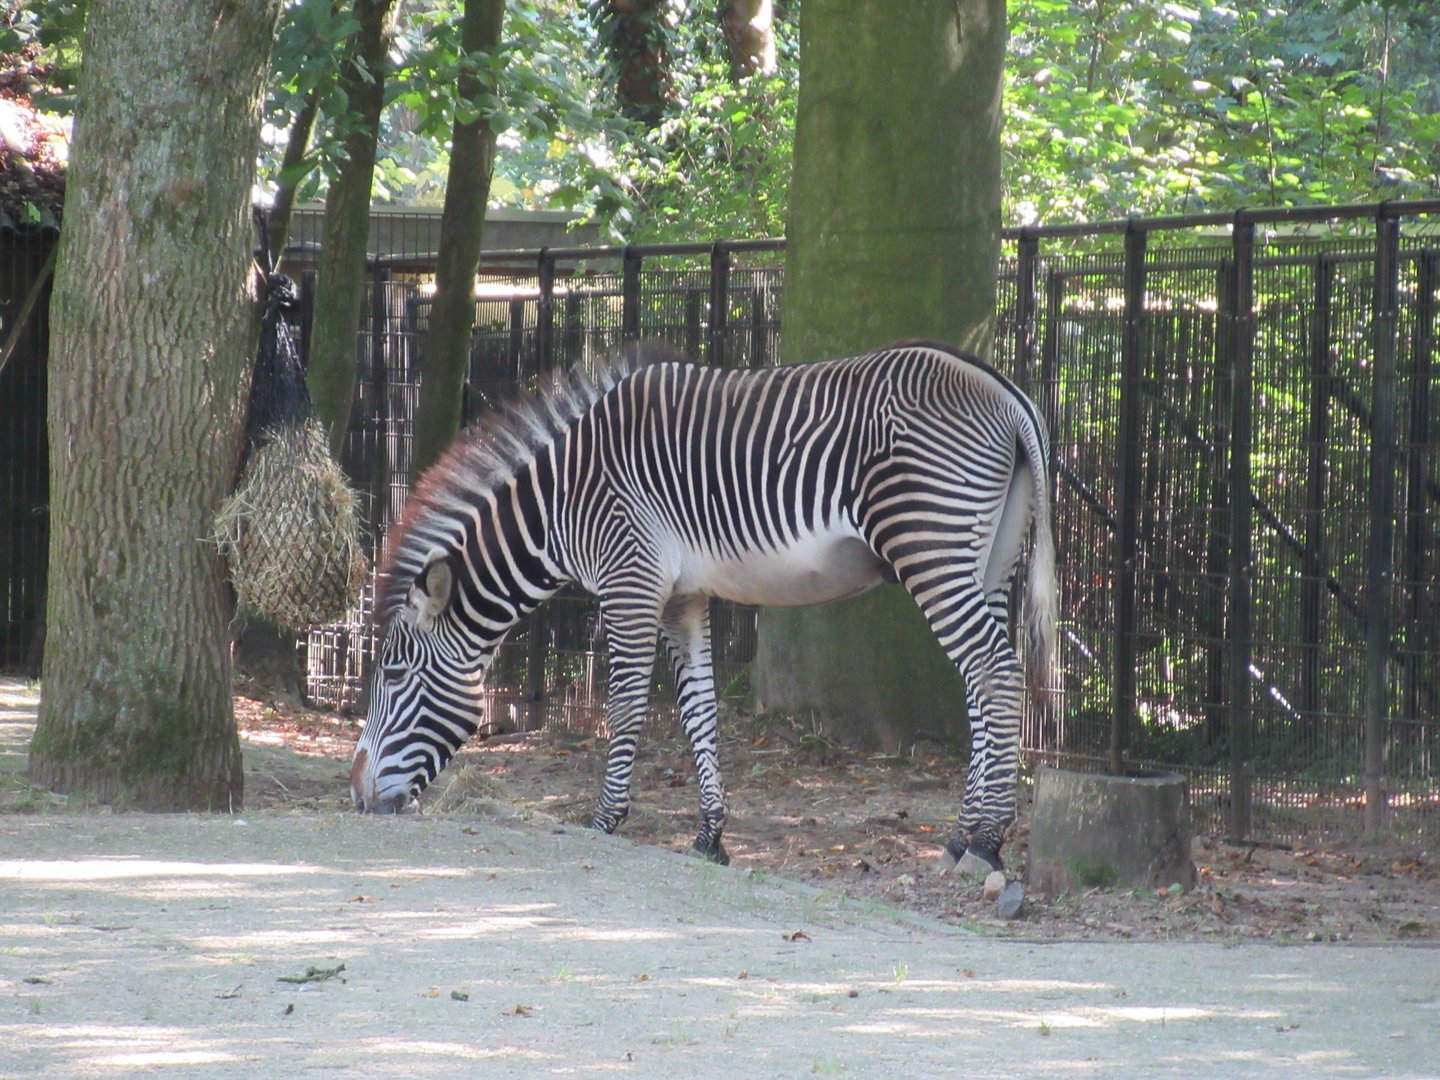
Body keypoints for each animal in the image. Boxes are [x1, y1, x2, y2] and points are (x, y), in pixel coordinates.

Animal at [350, 340, 1057, 874]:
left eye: (392, 674)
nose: (356, 797)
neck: (559, 503)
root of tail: (1008, 392)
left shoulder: (629, 580)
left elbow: (628, 708)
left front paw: (604, 822)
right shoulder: (682, 597)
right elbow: (698, 710)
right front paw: (709, 837)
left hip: (929, 544)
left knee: (995, 671)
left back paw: (986, 842)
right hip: (988, 558)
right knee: (984, 679)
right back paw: (964, 836)